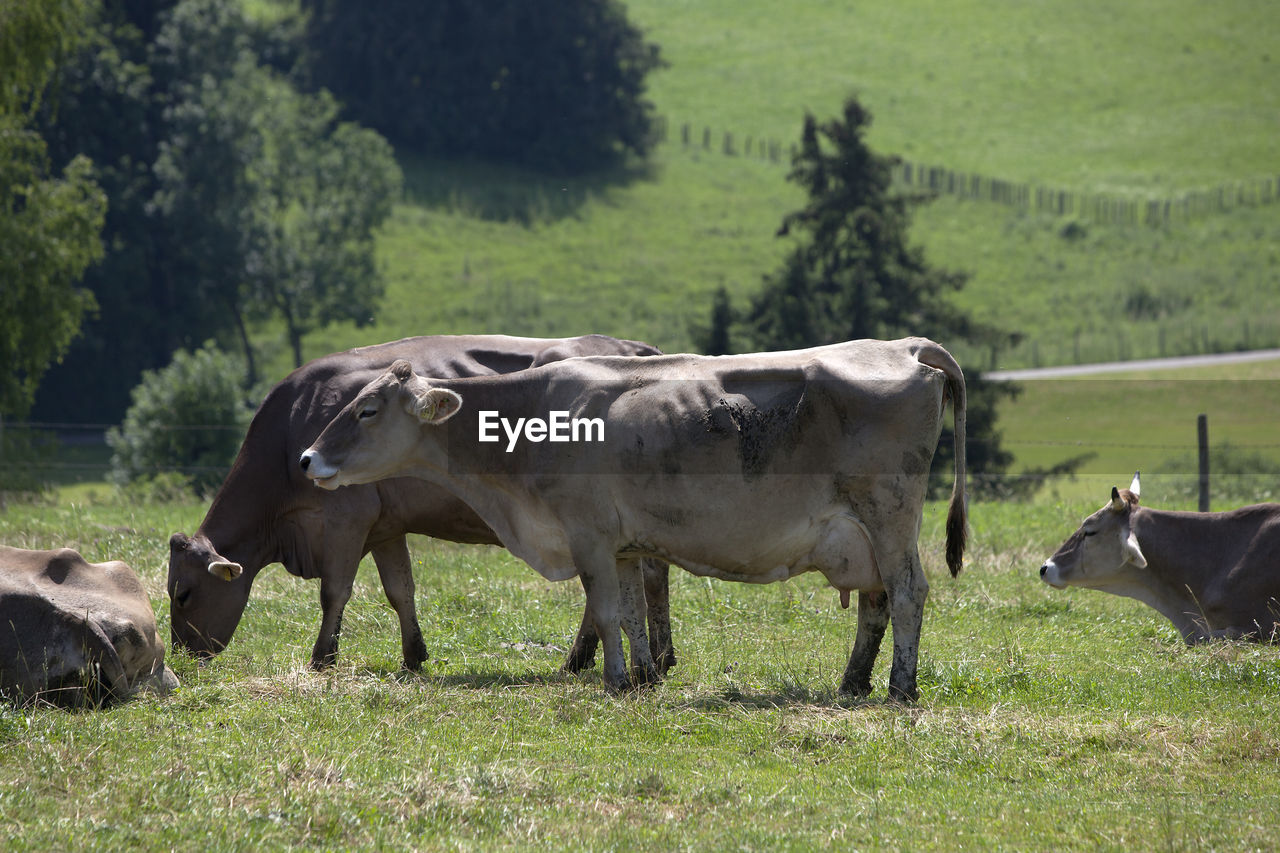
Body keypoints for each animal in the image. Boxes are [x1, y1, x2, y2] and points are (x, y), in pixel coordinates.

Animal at [165, 333, 675, 671]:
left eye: (183, 593)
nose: (183, 657)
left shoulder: (346, 517)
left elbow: (335, 591)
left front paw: (323, 658)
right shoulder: (386, 525)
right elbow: (400, 590)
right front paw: (413, 655)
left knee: (640, 577)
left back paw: (612, 657)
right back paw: (642, 656)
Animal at [296, 333, 962, 696]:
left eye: (367, 410)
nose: (306, 458)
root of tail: (903, 347)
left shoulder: (587, 534)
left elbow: (606, 608)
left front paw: (614, 679)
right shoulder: (623, 542)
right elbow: (634, 608)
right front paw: (643, 675)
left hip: (889, 514)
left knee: (907, 591)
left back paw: (901, 687)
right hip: (864, 533)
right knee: (876, 602)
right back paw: (853, 682)